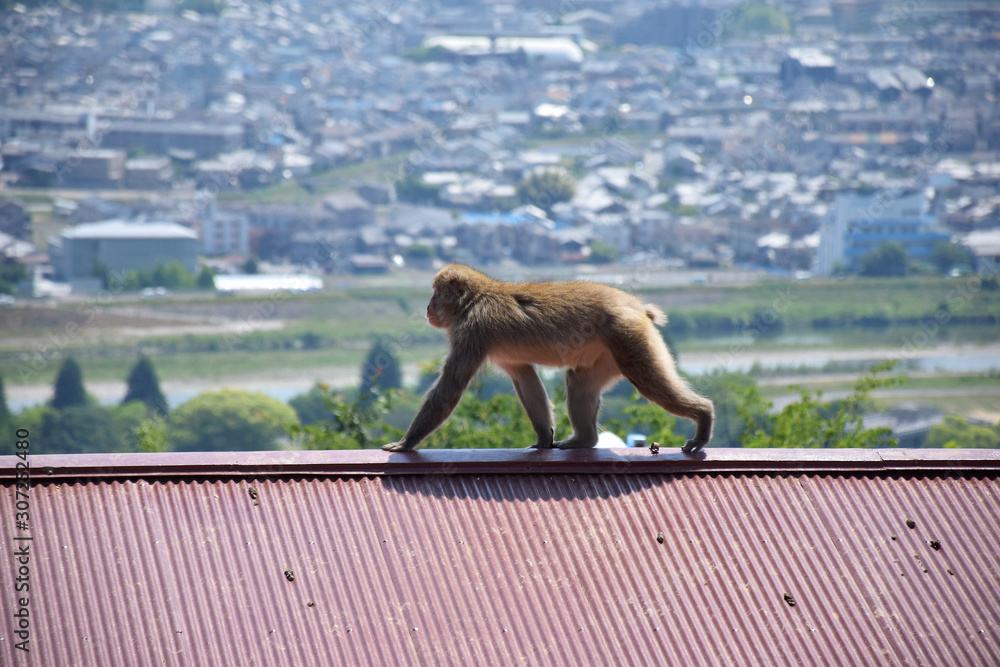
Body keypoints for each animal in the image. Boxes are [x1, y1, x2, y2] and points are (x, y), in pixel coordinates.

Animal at [382, 264, 714, 453]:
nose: (428, 307)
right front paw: (544, 438)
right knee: (579, 382)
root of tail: (635, 306)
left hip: (628, 337)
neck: (473, 301)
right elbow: (524, 377)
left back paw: (704, 415)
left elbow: (450, 386)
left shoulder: (472, 331)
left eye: (437, 293)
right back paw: (584, 440)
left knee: (650, 380)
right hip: (607, 354)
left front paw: (406, 443)